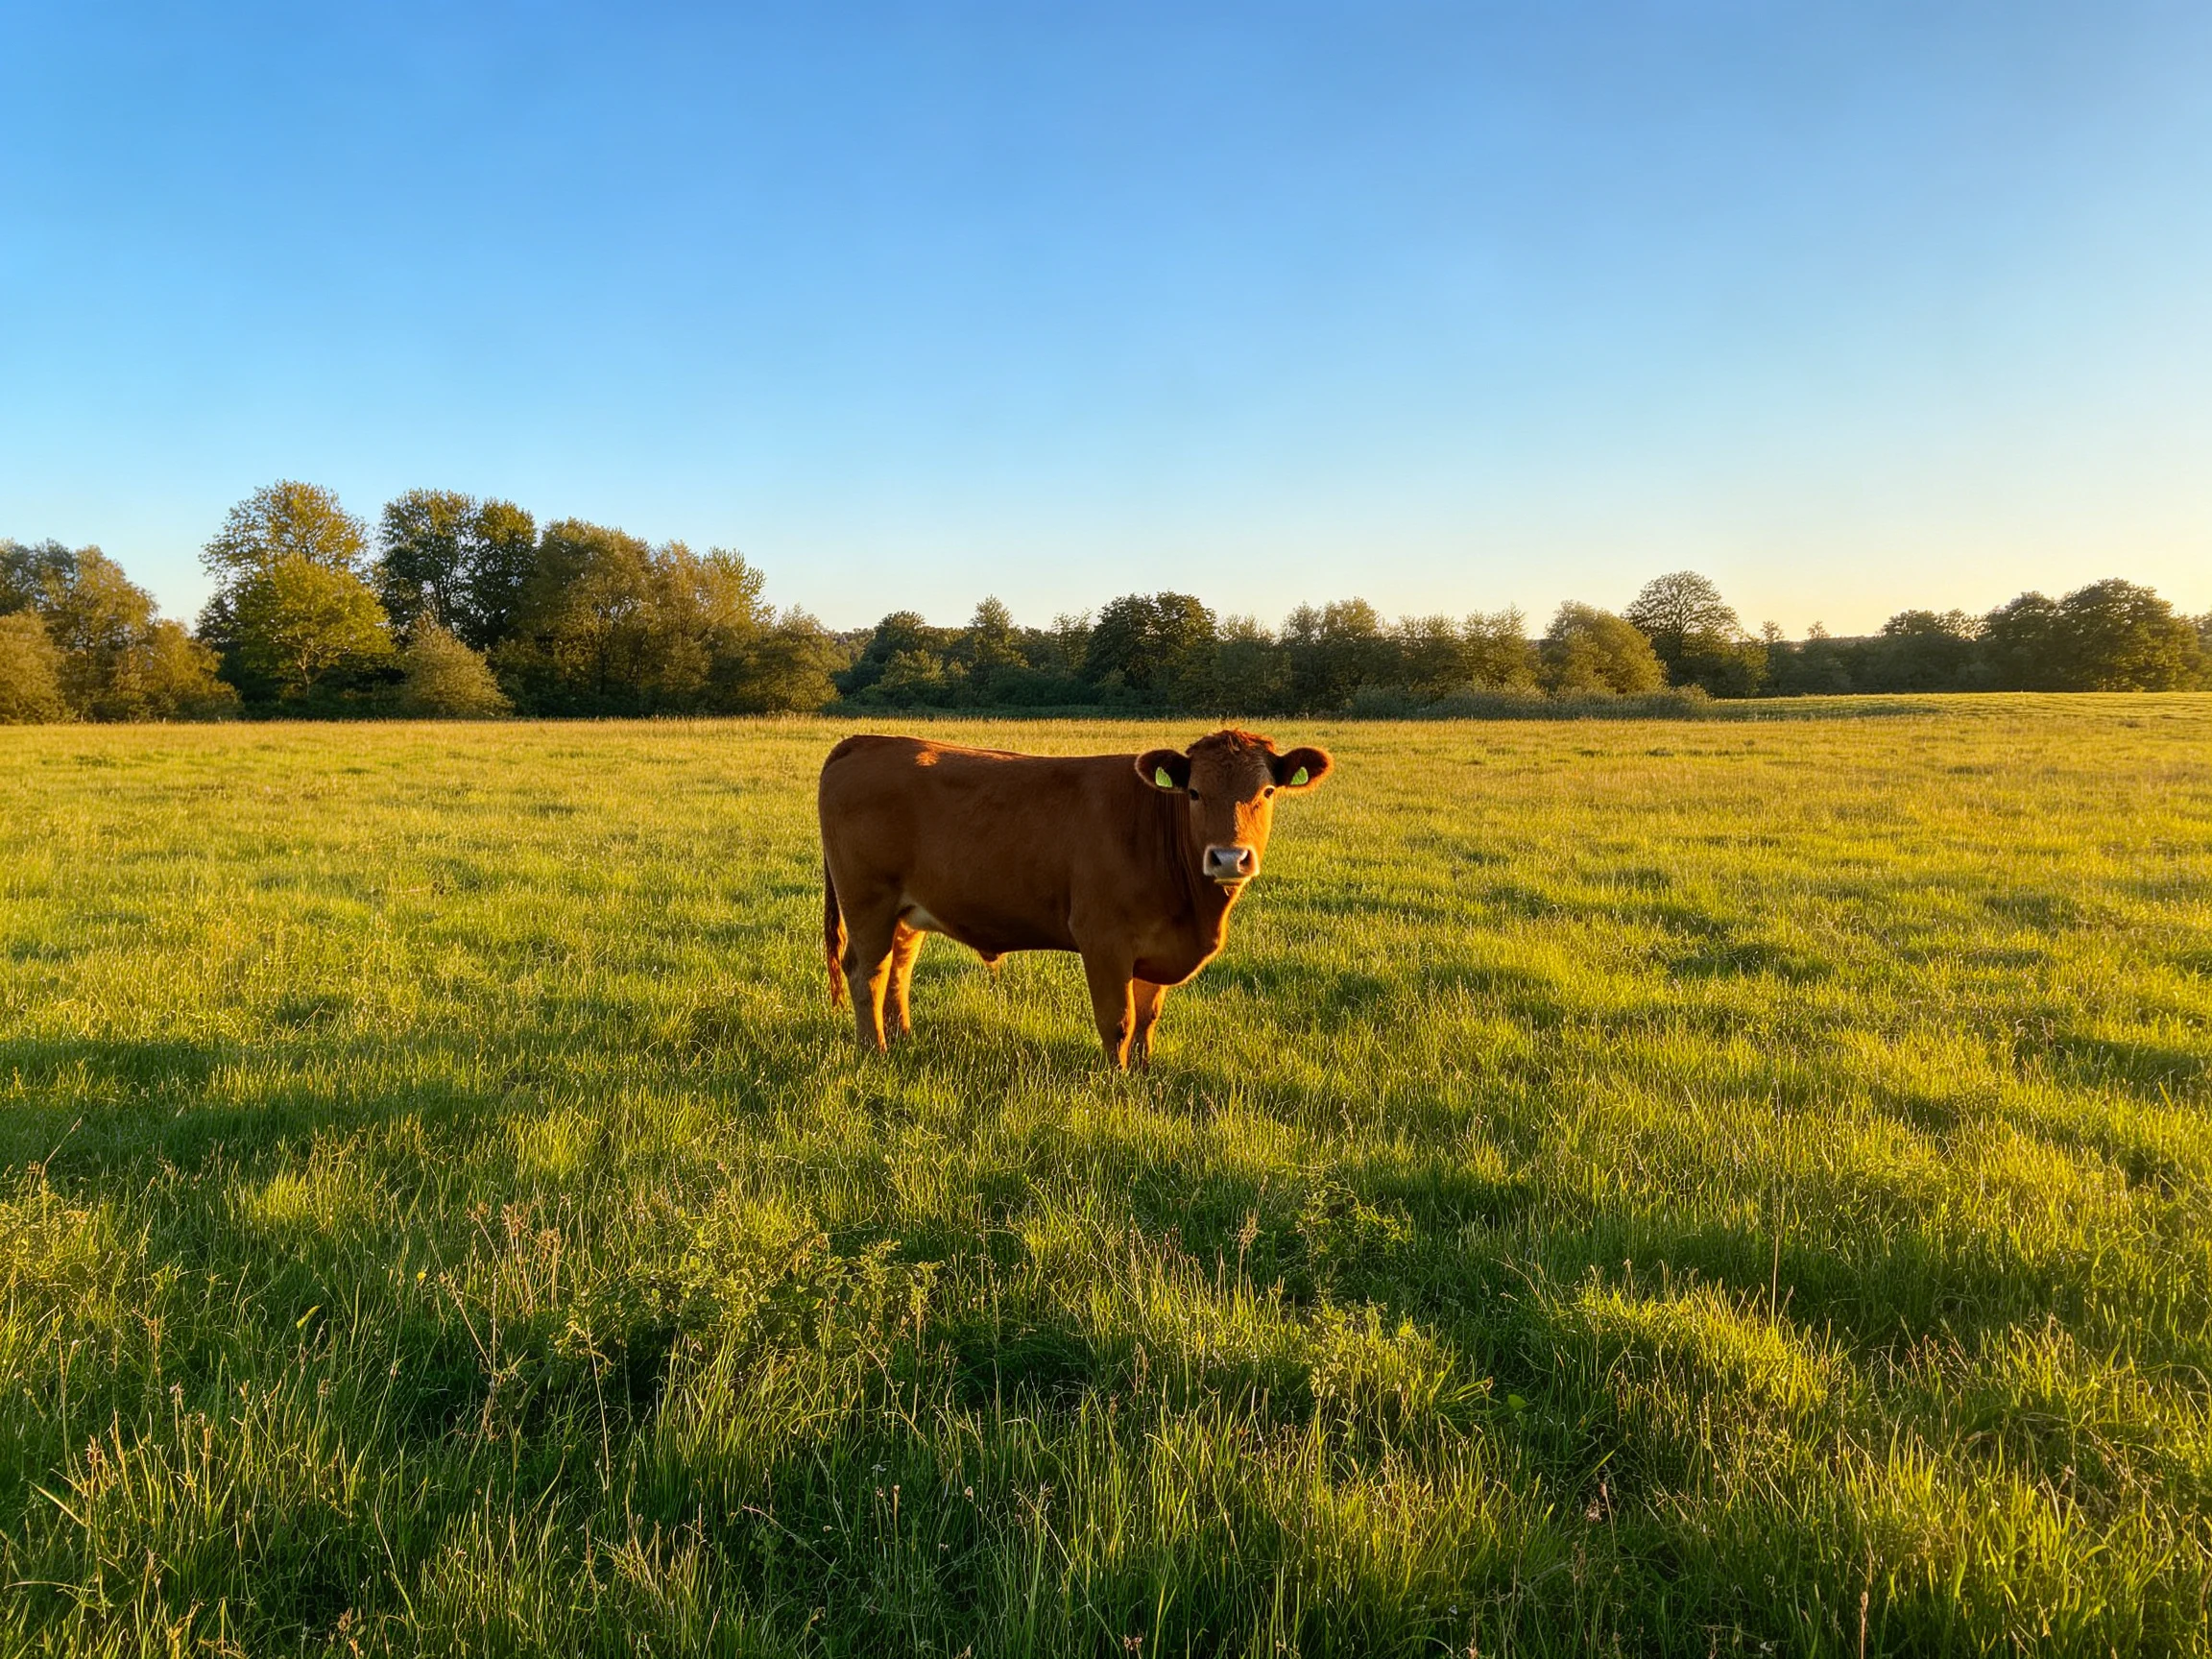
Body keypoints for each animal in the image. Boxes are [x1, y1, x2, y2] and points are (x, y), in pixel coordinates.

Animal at [818, 728, 1334, 1067]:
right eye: (1193, 792)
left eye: (1267, 791)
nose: (1229, 858)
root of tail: (869, 740)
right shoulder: (1103, 940)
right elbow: (1119, 1020)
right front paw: (1116, 1081)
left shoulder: (1156, 947)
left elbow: (1147, 1018)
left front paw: (1142, 1074)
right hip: (868, 902)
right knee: (868, 972)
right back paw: (875, 1051)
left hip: (907, 910)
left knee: (899, 968)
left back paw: (902, 1040)